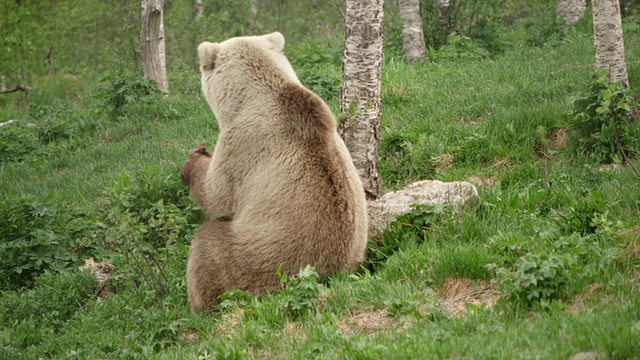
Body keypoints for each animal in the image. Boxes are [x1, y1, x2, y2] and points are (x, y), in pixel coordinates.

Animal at [182, 31, 368, 312]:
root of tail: (330, 276)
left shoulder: (242, 144)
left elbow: (216, 195)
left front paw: (194, 159)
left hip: (260, 261)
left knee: (208, 246)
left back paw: (200, 306)